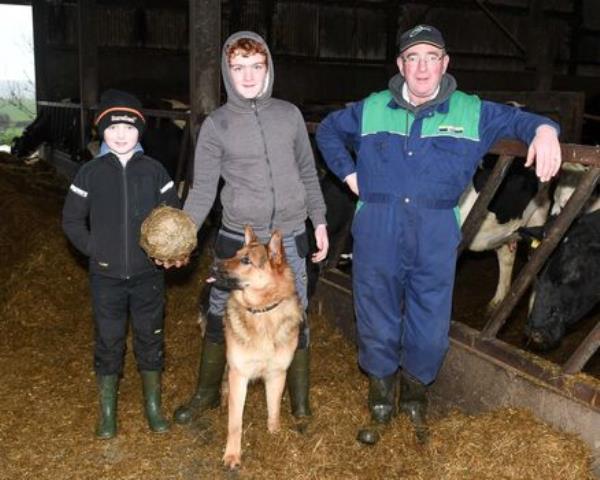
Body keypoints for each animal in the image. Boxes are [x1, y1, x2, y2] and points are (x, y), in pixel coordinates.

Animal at [212, 226, 304, 468]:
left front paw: (275, 436)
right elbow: (235, 423)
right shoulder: (239, 374)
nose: (212, 266)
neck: (262, 311)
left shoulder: (277, 374)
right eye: (234, 253)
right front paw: (232, 454)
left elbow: (274, 410)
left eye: (246, 260)